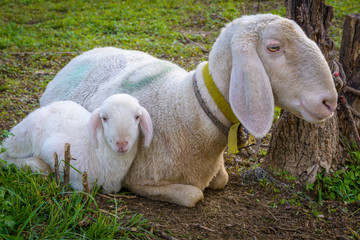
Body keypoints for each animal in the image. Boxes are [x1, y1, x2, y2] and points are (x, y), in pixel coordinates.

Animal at [0, 94, 153, 193]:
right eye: (104, 118)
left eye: (137, 117)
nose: (121, 143)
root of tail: (49, 105)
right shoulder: (52, 150)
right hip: (22, 137)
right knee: (5, 155)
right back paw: (37, 165)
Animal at [39, 14, 338, 206]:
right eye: (274, 47)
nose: (330, 102)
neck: (186, 110)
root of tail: (83, 54)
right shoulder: (141, 178)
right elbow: (195, 195)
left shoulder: (217, 172)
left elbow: (221, 180)